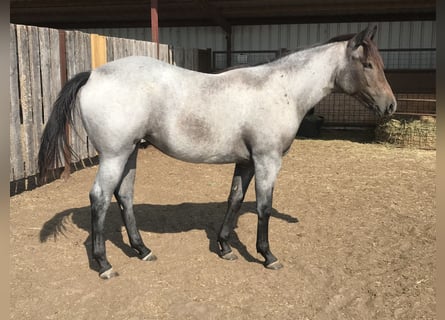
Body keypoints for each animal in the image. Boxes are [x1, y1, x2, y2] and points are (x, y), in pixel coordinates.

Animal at [38, 25, 396, 278]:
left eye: (379, 63)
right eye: (367, 64)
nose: (390, 105)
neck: (282, 88)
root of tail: (93, 74)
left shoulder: (247, 162)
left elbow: (235, 199)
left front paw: (224, 247)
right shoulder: (267, 160)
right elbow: (264, 207)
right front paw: (267, 255)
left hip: (130, 154)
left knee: (124, 196)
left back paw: (142, 250)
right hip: (114, 156)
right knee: (100, 198)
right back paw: (104, 264)